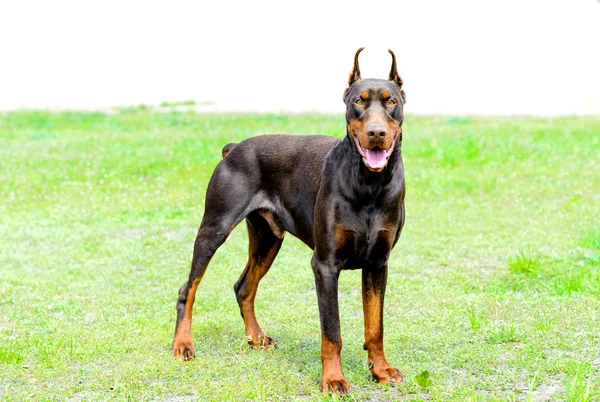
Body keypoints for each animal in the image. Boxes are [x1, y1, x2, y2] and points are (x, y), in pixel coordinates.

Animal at [173, 48, 408, 396]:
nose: (376, 133)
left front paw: (380, 370)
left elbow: (375, 325)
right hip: (214, 228)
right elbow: (332, 331)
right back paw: (182, 344)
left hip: (268, 238)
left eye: (391, 101)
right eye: (359, 101)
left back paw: (256, 338)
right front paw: (333, 380)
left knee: (243, 287)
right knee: (188, 288)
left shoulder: (378, 262)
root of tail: (233, 148)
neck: (369, 185)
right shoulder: (325, 265)